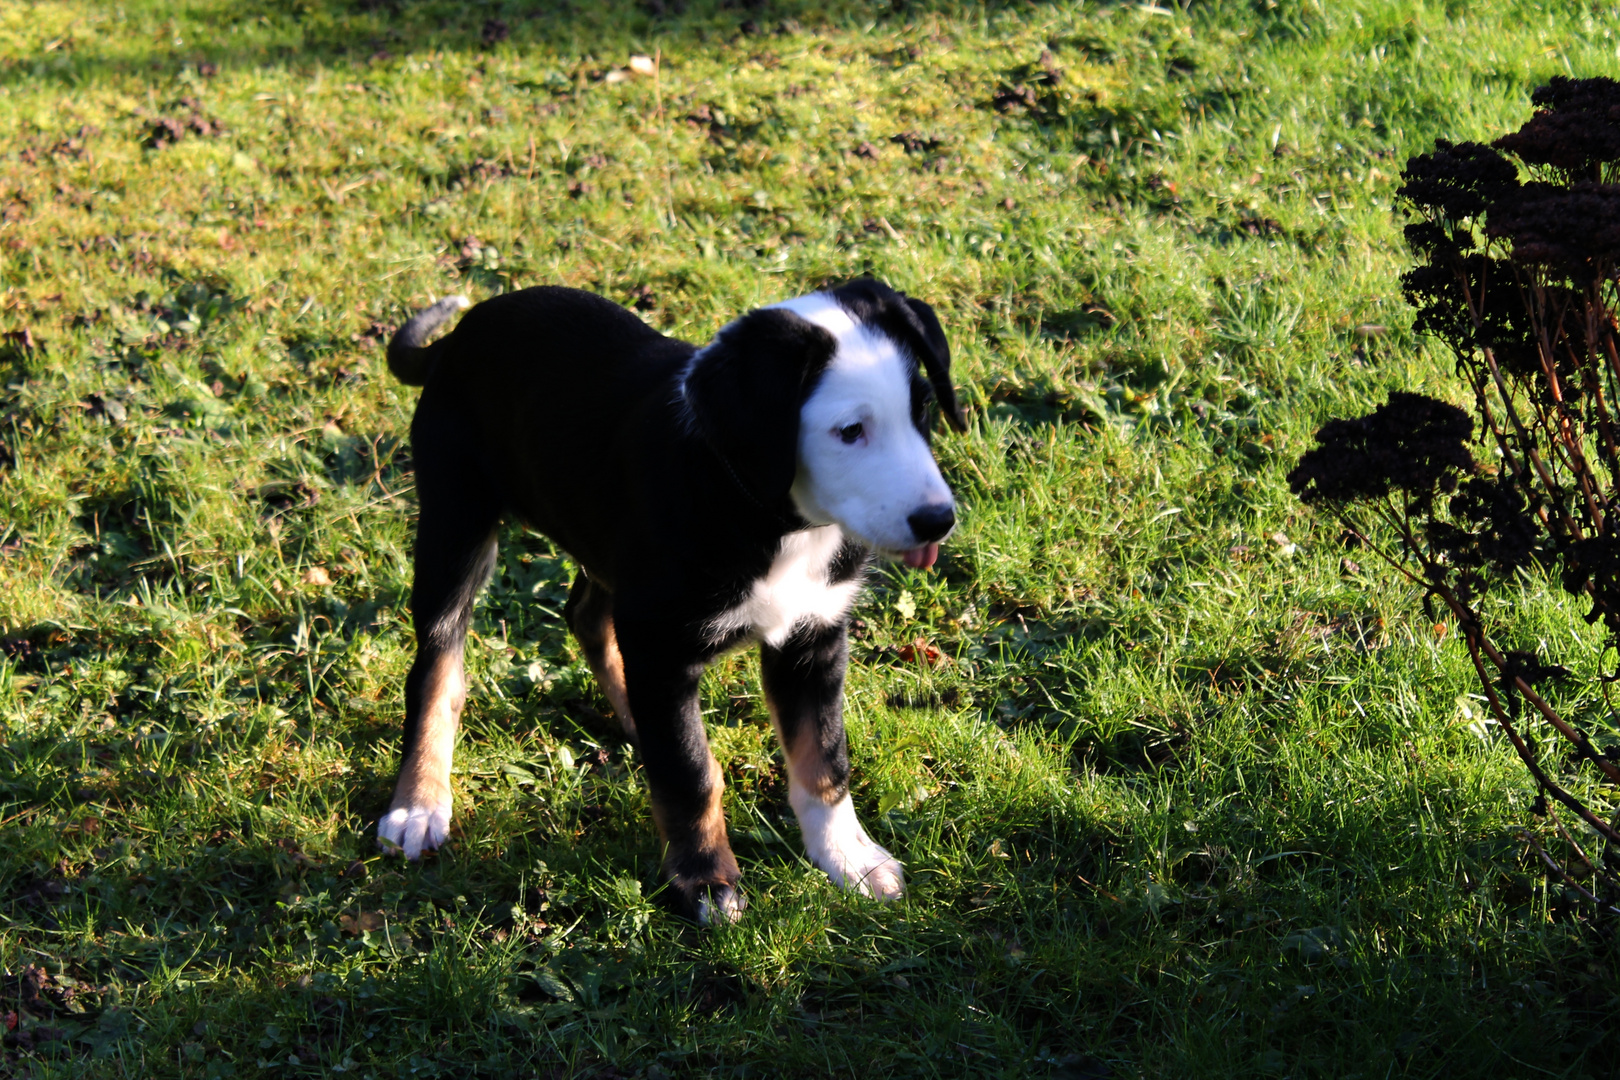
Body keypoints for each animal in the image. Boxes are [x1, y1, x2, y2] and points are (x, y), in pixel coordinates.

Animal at [377, 278, 959, 919]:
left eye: (922, 410)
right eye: (850, 431)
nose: (938, 520)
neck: (765, 512)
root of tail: (462, 333)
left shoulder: (813, 636)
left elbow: (824, 760)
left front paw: (848, 858)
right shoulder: (660, 643)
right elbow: (689, 774)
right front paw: (704, 880)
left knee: (586, 617)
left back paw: (635, 718)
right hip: (455, 520)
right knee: (437, 664)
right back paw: (419, 802)